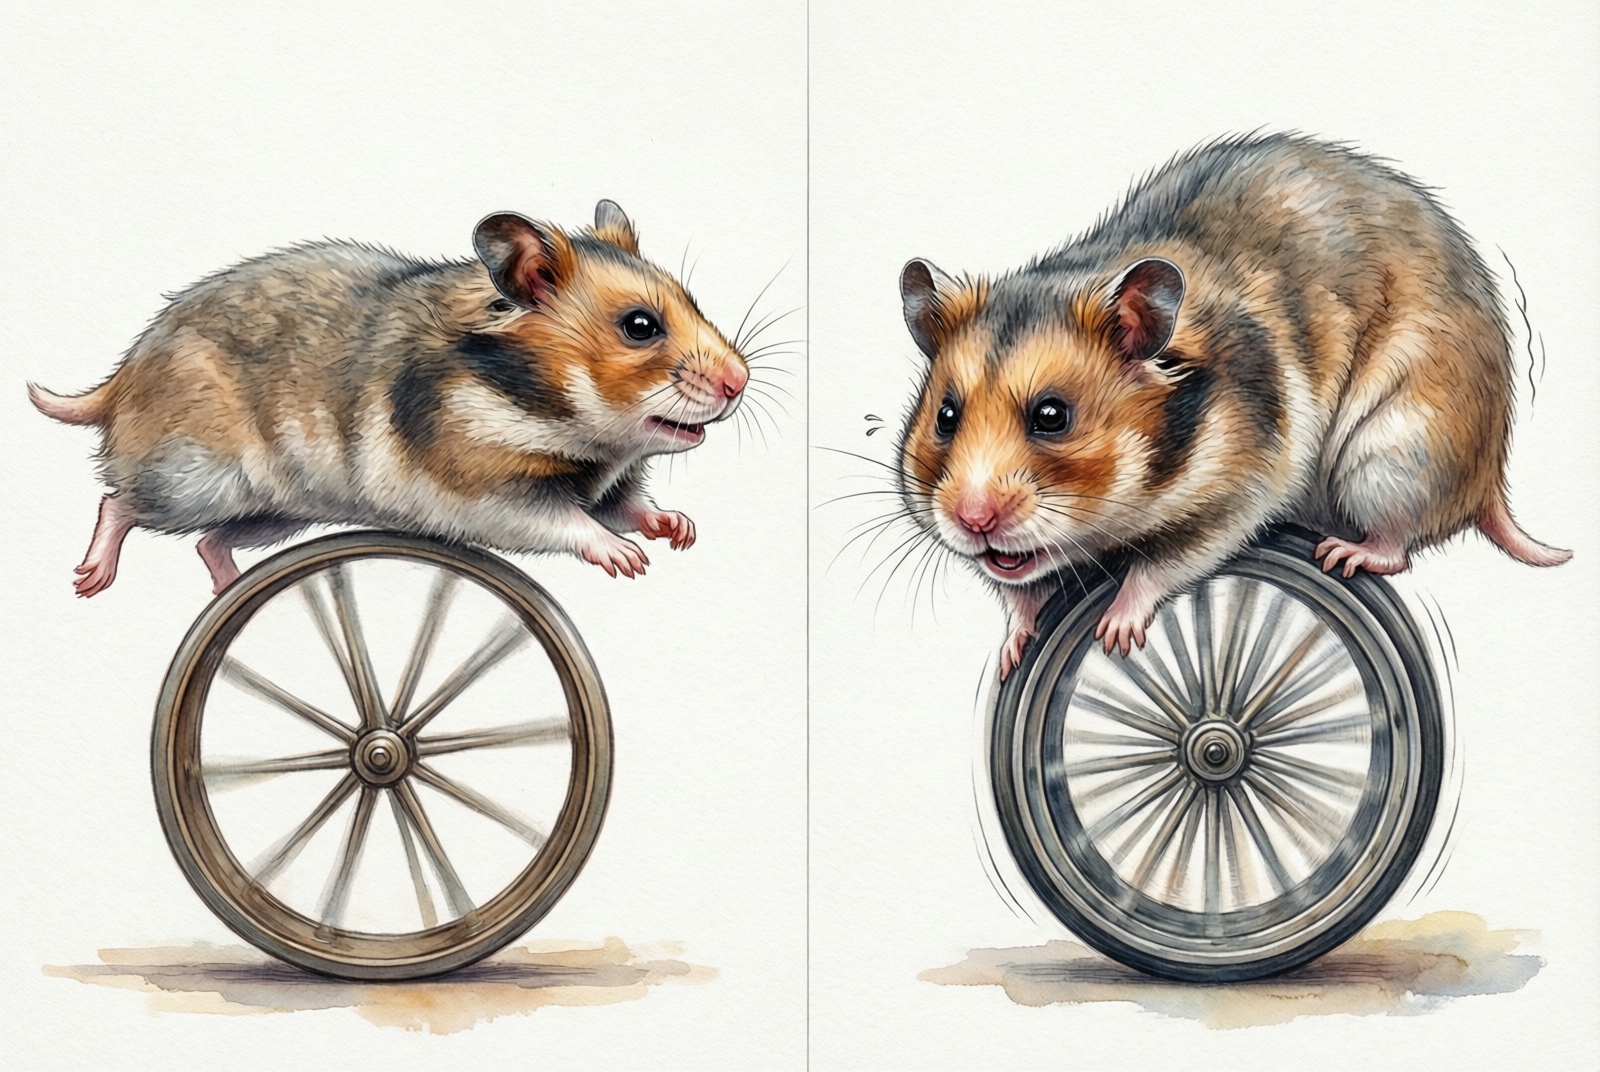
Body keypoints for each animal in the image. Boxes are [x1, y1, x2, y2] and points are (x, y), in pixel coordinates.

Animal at [30, 200, 750, 596]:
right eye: (640, 326)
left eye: (692, 301)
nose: (739, 383)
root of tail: (120, 379)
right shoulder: (483, 490)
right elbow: (567, 523)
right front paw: (628, 561)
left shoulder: (612, 484)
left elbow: (630, 507)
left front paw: (677, 531)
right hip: (198, 478)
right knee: (118, 502)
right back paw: (91, 580)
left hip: (278, 511)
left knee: (210, 544)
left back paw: (227, 590)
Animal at [894, 134, 1571, 678]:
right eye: (945, 416)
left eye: (1052, 416)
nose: (973, 520)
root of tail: (1489, 478)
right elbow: (1018, 592)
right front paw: (1012, 653)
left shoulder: (1241, 487)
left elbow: (1162, 564)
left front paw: (1115, 634)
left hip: (1394, 452)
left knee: (1398, 544)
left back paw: (1346, 553)